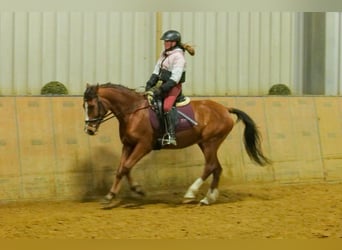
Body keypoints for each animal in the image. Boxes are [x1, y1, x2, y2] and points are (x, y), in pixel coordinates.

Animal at [82, 83, 270, 208]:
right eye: (84, 106)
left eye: (91, 105)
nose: (89, 130)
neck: (133, 112)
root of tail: (224, 108)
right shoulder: (128, 145)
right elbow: (121, 169)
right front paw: (111, 195)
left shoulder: (143, 145)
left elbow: (126, 166)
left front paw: (136, 190)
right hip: (205, 143)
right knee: (217, 168)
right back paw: (208, 199)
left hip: (210, 142)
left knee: (210, 166)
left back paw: (190, 194)